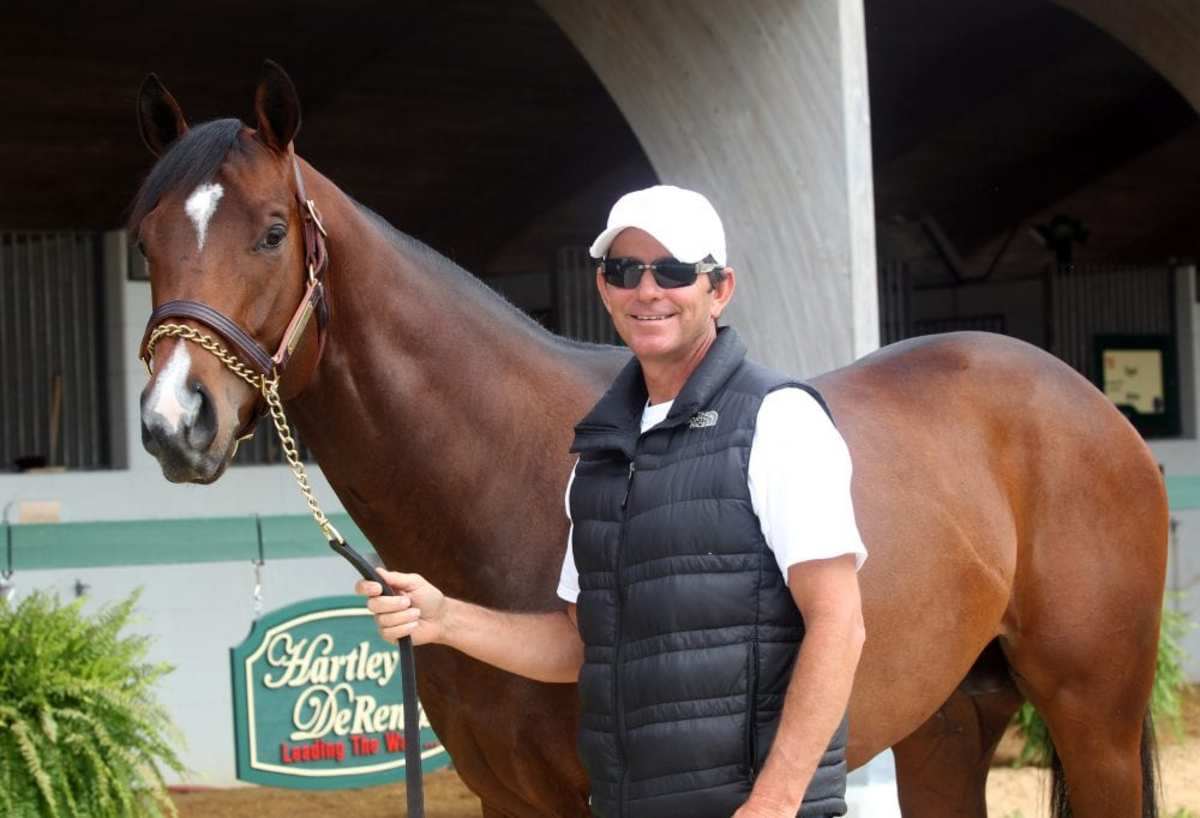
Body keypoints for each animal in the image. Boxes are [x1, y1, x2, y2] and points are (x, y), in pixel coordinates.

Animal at [129, 65, 1161, 815]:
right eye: (143, 244)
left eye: (271, 232)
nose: (175, 422)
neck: (501, 472)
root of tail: (1098, 413)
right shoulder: (509, 800)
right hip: (947, 723)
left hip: (1095, 721)